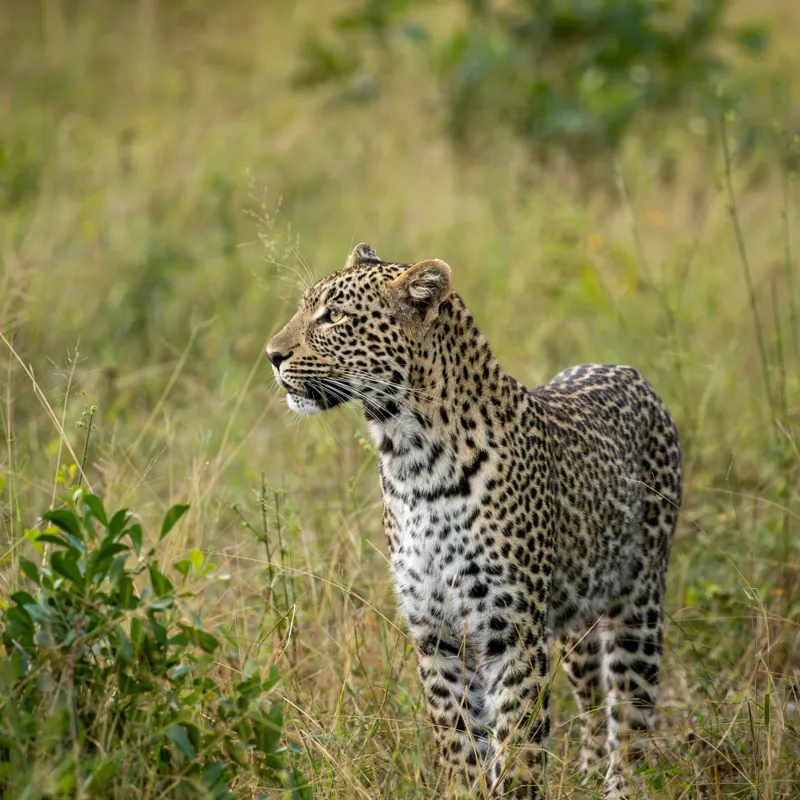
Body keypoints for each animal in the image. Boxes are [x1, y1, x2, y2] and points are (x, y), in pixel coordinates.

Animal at [266, 243, 683, 799]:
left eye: (334, 317)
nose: (271, 355)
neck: (411, 461)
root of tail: (630, 372)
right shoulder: (436, 633)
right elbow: (460, 741)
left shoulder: (512, 632)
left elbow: (519, 745)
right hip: (577, 619)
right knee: (594, 705)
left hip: (637, 604)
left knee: (631, 721)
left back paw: (622, 783)